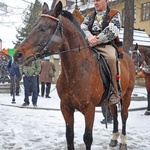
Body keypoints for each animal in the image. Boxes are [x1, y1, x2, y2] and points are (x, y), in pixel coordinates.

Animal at [14, 1, 135, 150]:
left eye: (43, 28)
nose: (17, 55)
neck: (76, 72)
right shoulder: (66, 107)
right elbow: (69, 136)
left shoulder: (89, 109)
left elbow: (87, 138)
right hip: (111, 101)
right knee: (114, 114)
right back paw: (114, 139)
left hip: (127, 95)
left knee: (123, 116)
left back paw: (123, 141)